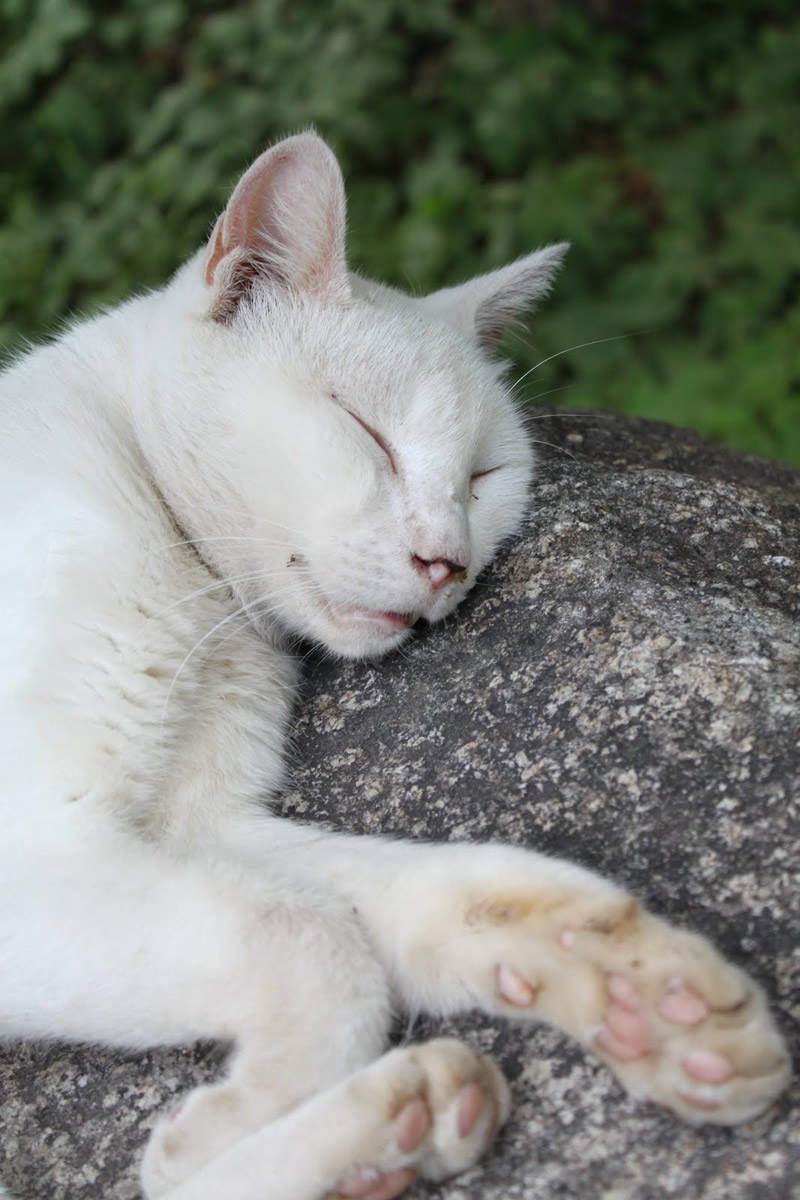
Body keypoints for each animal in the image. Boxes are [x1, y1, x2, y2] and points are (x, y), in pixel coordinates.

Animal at [0, 133, 786, 1200]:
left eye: (485, 480)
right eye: (364, 431)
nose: (444, 560)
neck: (205, 602)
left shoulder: (199, 828)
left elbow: (415, 895)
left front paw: (639, 991)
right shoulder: (38, 849)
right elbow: (316, 940)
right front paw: (233, 1127)